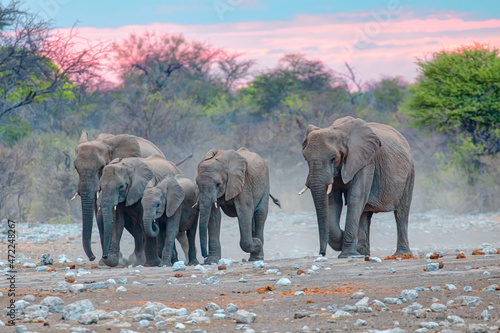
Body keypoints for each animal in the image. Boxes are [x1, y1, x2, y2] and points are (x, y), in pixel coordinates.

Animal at [300, 116, 414, 256]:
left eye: (333, 158)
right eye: (305, 158)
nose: (322, 253)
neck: (338, 130)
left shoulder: (366, 161)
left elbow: (355, 198)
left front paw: (348, 254)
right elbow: (334, 202)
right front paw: (345, 243)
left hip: (409, 174)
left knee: (401, 213)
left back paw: (401, 254)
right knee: (365, 214)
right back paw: (363, 253)